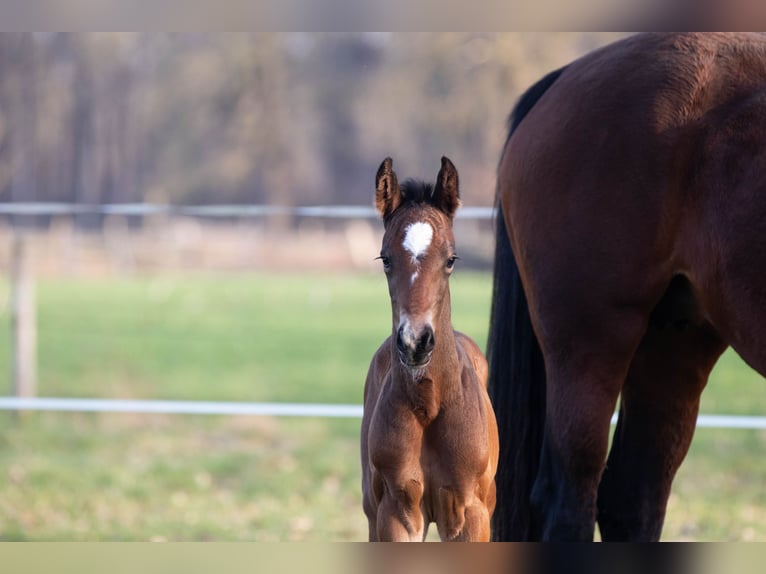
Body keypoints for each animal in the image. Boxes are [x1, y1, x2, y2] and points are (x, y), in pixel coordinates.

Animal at [361, 156, 499, 541]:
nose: (415, 342)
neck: (431, 403)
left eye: (451, 259)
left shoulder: (471, 514)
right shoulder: (398, 512)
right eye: (385, 259)